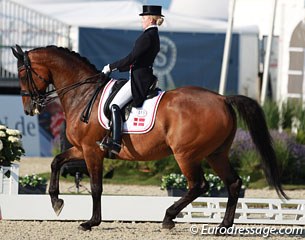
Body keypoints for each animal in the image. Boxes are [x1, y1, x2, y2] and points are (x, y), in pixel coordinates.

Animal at [11, 44, 288, 231]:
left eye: (23, 74)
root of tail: (222, 99)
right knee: (232, 183)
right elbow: (56, 161)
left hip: (186, 154)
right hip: (216, 153)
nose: (28, 109)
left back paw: (168, 217)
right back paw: (223, 225)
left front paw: (90, 222)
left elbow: (96, 187)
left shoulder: (92, 151)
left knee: (199, 185)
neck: (83, 93)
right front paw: (56, 202)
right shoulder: (82, 148)